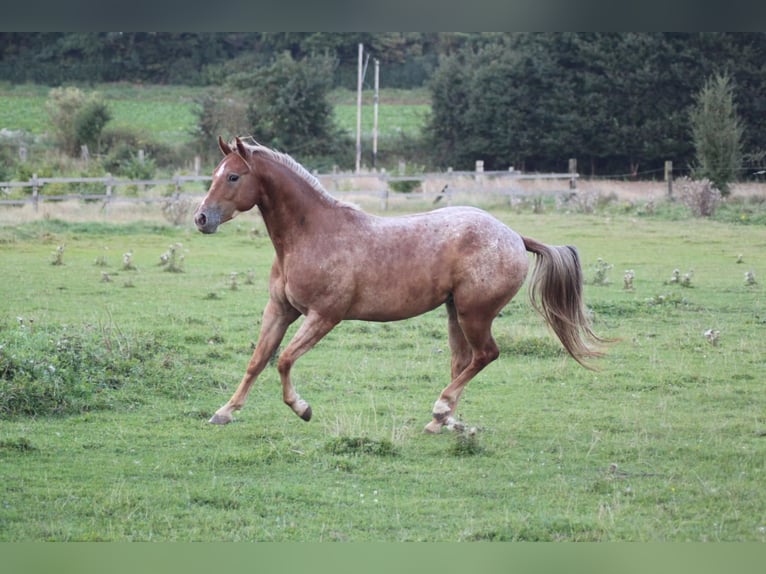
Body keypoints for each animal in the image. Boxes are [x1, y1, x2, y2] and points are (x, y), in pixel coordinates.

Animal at [192, 137, 608, 434]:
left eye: (233, 176)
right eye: (214, 173)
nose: (201, 218)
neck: (311, 234)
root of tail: (514, 236)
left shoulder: (324, 315)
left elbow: (284, 359)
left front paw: (302, 408)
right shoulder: (280, 309)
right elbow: (258, 359)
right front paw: (225, 412)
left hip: (475, 313)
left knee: (485, 355)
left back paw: (441, 409)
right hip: (455, 312)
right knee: (463, 360)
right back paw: (443, 421)